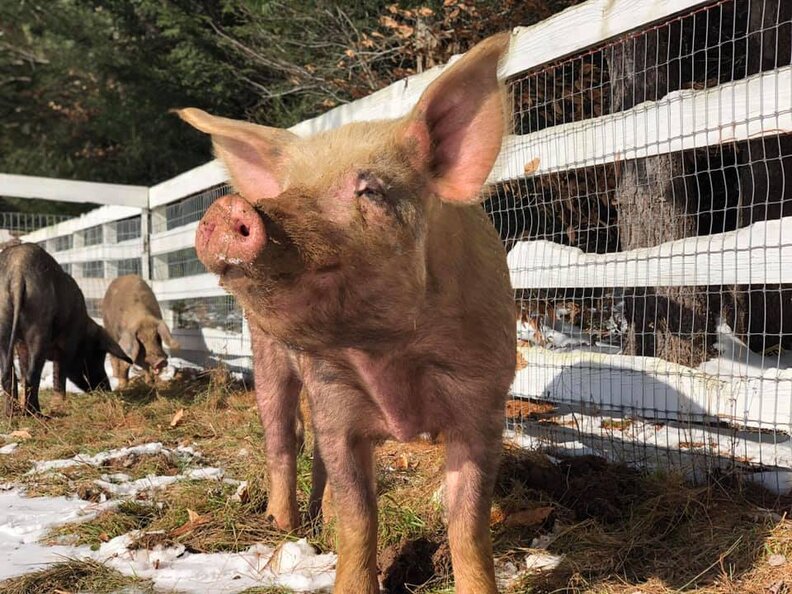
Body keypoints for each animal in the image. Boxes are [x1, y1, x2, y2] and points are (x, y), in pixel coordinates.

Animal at [0, 243, 132, 416]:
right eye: (97, 355)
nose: (107, 389)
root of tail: (17, 272)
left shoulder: (22, 344)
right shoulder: (68, 342)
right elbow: (60, 372)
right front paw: (58, 405)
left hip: (4, 323)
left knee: (8, 374)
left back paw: (12, 414)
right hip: (38, 323)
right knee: (32, 374)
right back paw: (38, 414)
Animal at [179, 32, 516, 594]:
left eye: (371, 189)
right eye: (285, 190)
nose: (227, 210)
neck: (390, 356)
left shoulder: (483, 399)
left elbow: (466, 521)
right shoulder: (334, 392)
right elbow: (361, 517)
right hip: (269, 359)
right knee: (283, 437)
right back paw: (282, 526)